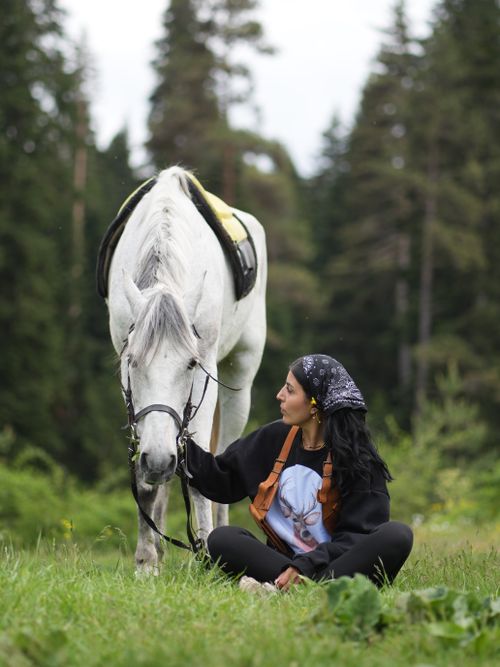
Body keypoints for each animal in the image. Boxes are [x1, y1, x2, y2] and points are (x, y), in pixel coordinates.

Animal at [105, 166, 267, 574]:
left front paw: (209, 554)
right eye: (132, 362)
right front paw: (147, 561)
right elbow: (147, 480)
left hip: (240, 378)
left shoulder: (207, 366)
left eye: (191, 363)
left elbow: (200, 474)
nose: (159, 459)